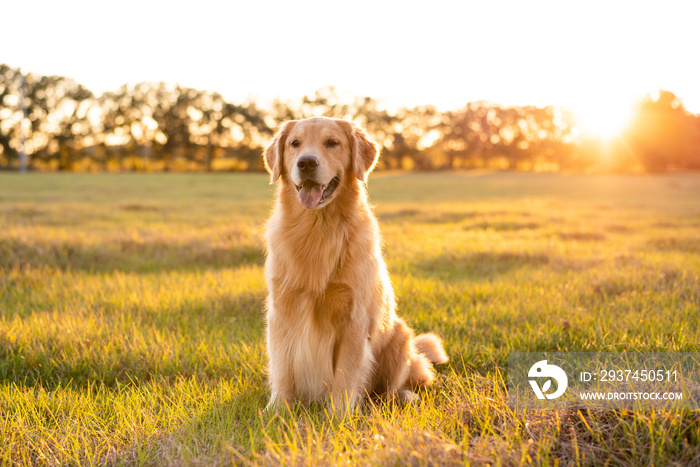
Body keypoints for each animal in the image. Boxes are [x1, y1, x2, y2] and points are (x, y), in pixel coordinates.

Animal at [262, 117, 448, 414]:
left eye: (332, 142)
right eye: (295, 143)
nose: (306, 163)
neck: (317, 229)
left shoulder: (354, 320)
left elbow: (346, 373)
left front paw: (340, 415)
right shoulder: (281, 312)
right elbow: (282, 369)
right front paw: (277, 409)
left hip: (400, 337)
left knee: (397, 385)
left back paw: (403, 397)